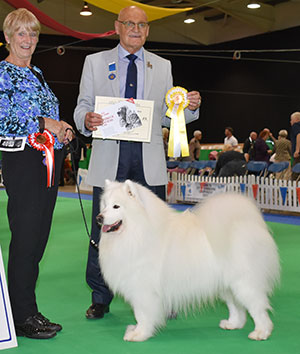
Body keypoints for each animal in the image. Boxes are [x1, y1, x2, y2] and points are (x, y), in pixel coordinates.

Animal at [97, 180, 280, 342]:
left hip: (243, 283)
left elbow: (142, 314)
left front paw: (139, 334)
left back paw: (261, 332)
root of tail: (251, 224)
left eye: (116, 206)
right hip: (226, 284)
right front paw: (136, 330)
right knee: (236, 306)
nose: (99, 218)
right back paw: (233, 324)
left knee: (257, 307)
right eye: (104, 205)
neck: (138, 232)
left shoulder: (143, 290)